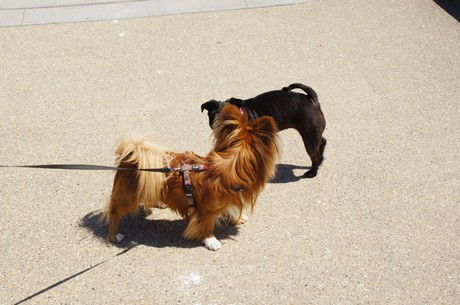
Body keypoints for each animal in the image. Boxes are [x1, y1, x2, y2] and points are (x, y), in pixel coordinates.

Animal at [102, 104, 278, 249]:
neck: (231, 166)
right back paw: (114, 236)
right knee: (114, 213)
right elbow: (207, 224)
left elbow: (229, 209)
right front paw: (211, 240)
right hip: (127, 197)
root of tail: (129, 155)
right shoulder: (205, 210)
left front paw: (236, 218)